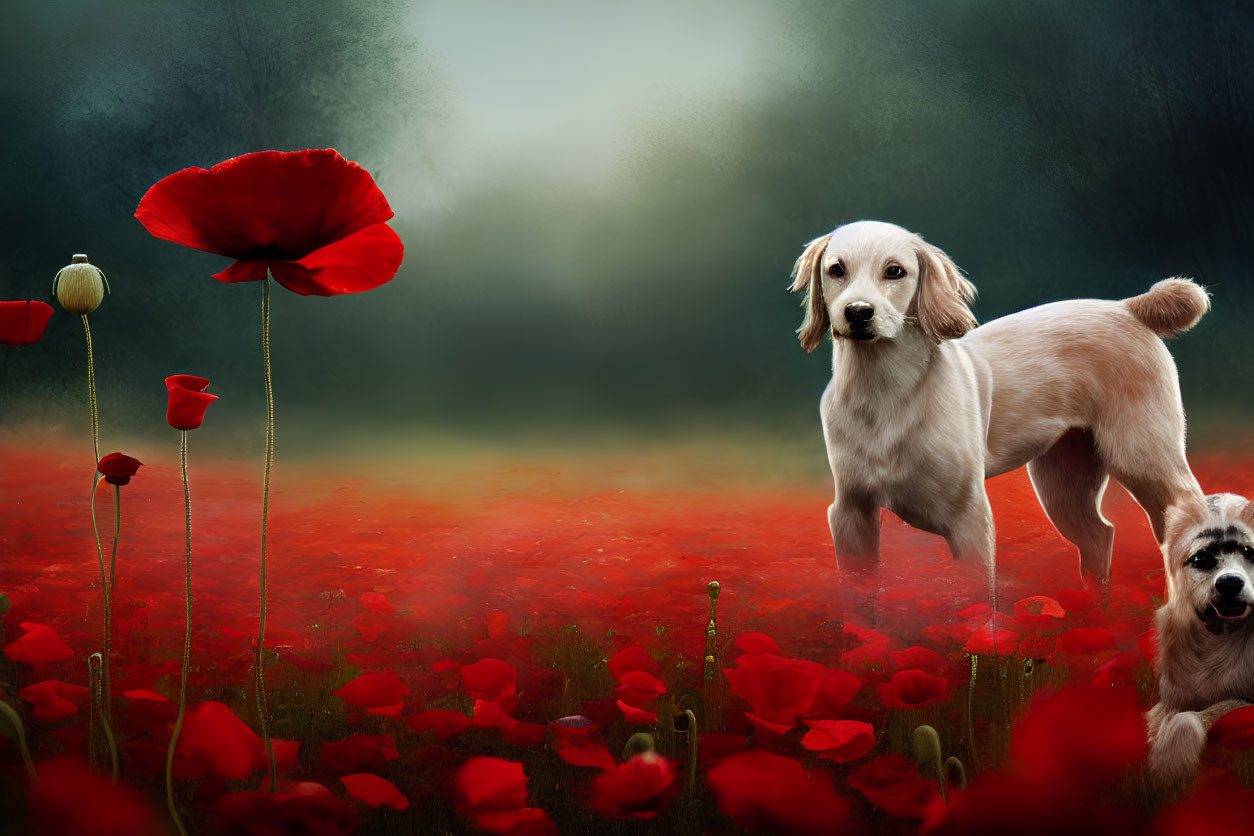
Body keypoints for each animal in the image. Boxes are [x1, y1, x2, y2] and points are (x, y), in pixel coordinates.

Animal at [787, 219, 1208, 581]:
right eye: (836, 269)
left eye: (894, 271)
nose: (858, 313)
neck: (885, 395)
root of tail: (1129, 308)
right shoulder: (850, 513)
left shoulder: (969, 519)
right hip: (1063, 483)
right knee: (1098, 536)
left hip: (1143, 457)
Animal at [1148, 493, 1254, 797]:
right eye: (1202, 558)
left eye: (1249, 551)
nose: (1229, 583)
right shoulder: (1172, 699)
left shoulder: (1243, 701)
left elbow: (1192, 717)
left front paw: (1171, 763)